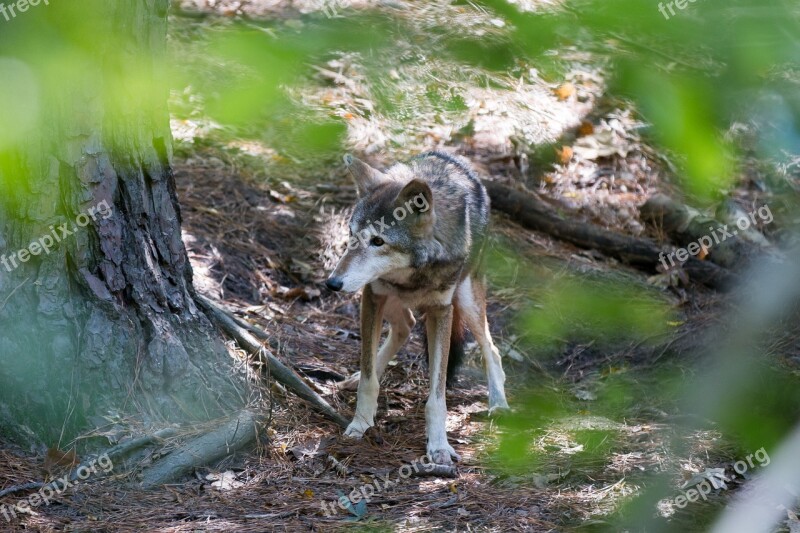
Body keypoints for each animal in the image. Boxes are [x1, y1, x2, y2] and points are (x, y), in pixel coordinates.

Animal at [324, 152, 506, 464]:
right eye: (351, 235)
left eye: (378, 241)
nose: (333, 283)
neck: (412, 274)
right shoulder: (373, 296)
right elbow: (369, 381)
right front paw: (361, 424)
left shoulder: (442, 310)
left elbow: (437, 396)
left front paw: (439, 447)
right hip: (385, 300)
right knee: (405, 327)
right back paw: (357, 375)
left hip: (465, 300)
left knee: (491, 348)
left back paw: (500, 404)